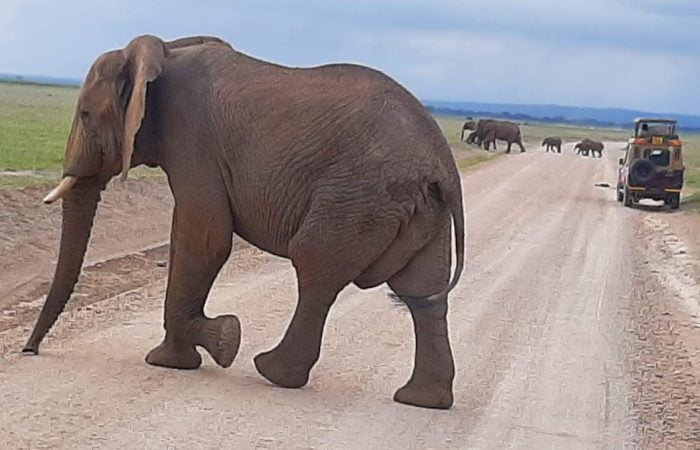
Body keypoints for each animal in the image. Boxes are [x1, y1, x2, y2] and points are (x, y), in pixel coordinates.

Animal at [22, 35, 465, 410]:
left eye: (85, 114)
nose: (30, 351)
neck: (164, 51)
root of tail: (443, 164)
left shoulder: (192, 140)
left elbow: (205, 239)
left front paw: (216, 343)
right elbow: (186, 234)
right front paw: (180, 355)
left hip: (358, 196)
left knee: (316, 270)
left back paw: (272, 371)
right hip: (420, 208)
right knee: (422, 293)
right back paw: (422, 400)